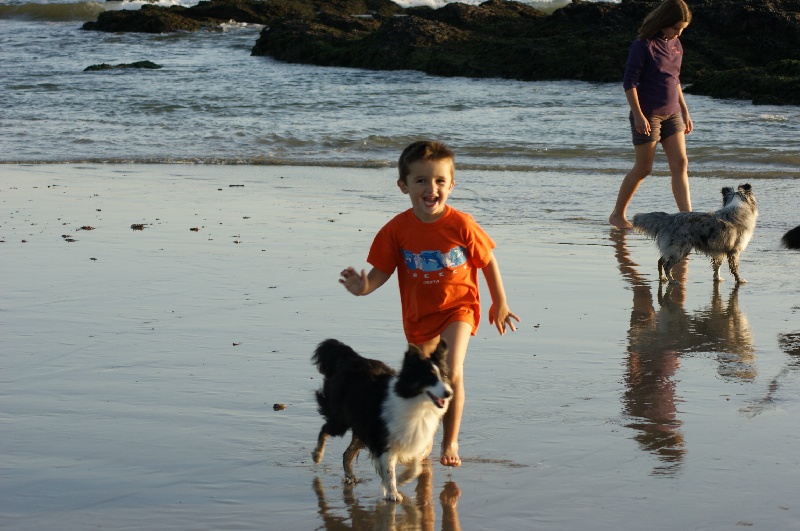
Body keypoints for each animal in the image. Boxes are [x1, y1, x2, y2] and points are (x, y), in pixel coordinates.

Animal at [310, 340, 454, 502]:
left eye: (445, 375)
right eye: (430, 377)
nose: (449, 393)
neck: (417, 403)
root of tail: (350, 358)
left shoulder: (411, 439)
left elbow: (416, 467)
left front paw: (401, 479)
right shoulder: (384, 440)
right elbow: (390, 470)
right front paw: (392, 493)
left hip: (363, 430)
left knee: (347, 453)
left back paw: (350, 477)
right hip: (342, 421)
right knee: (325, 430)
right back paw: (317, 455)